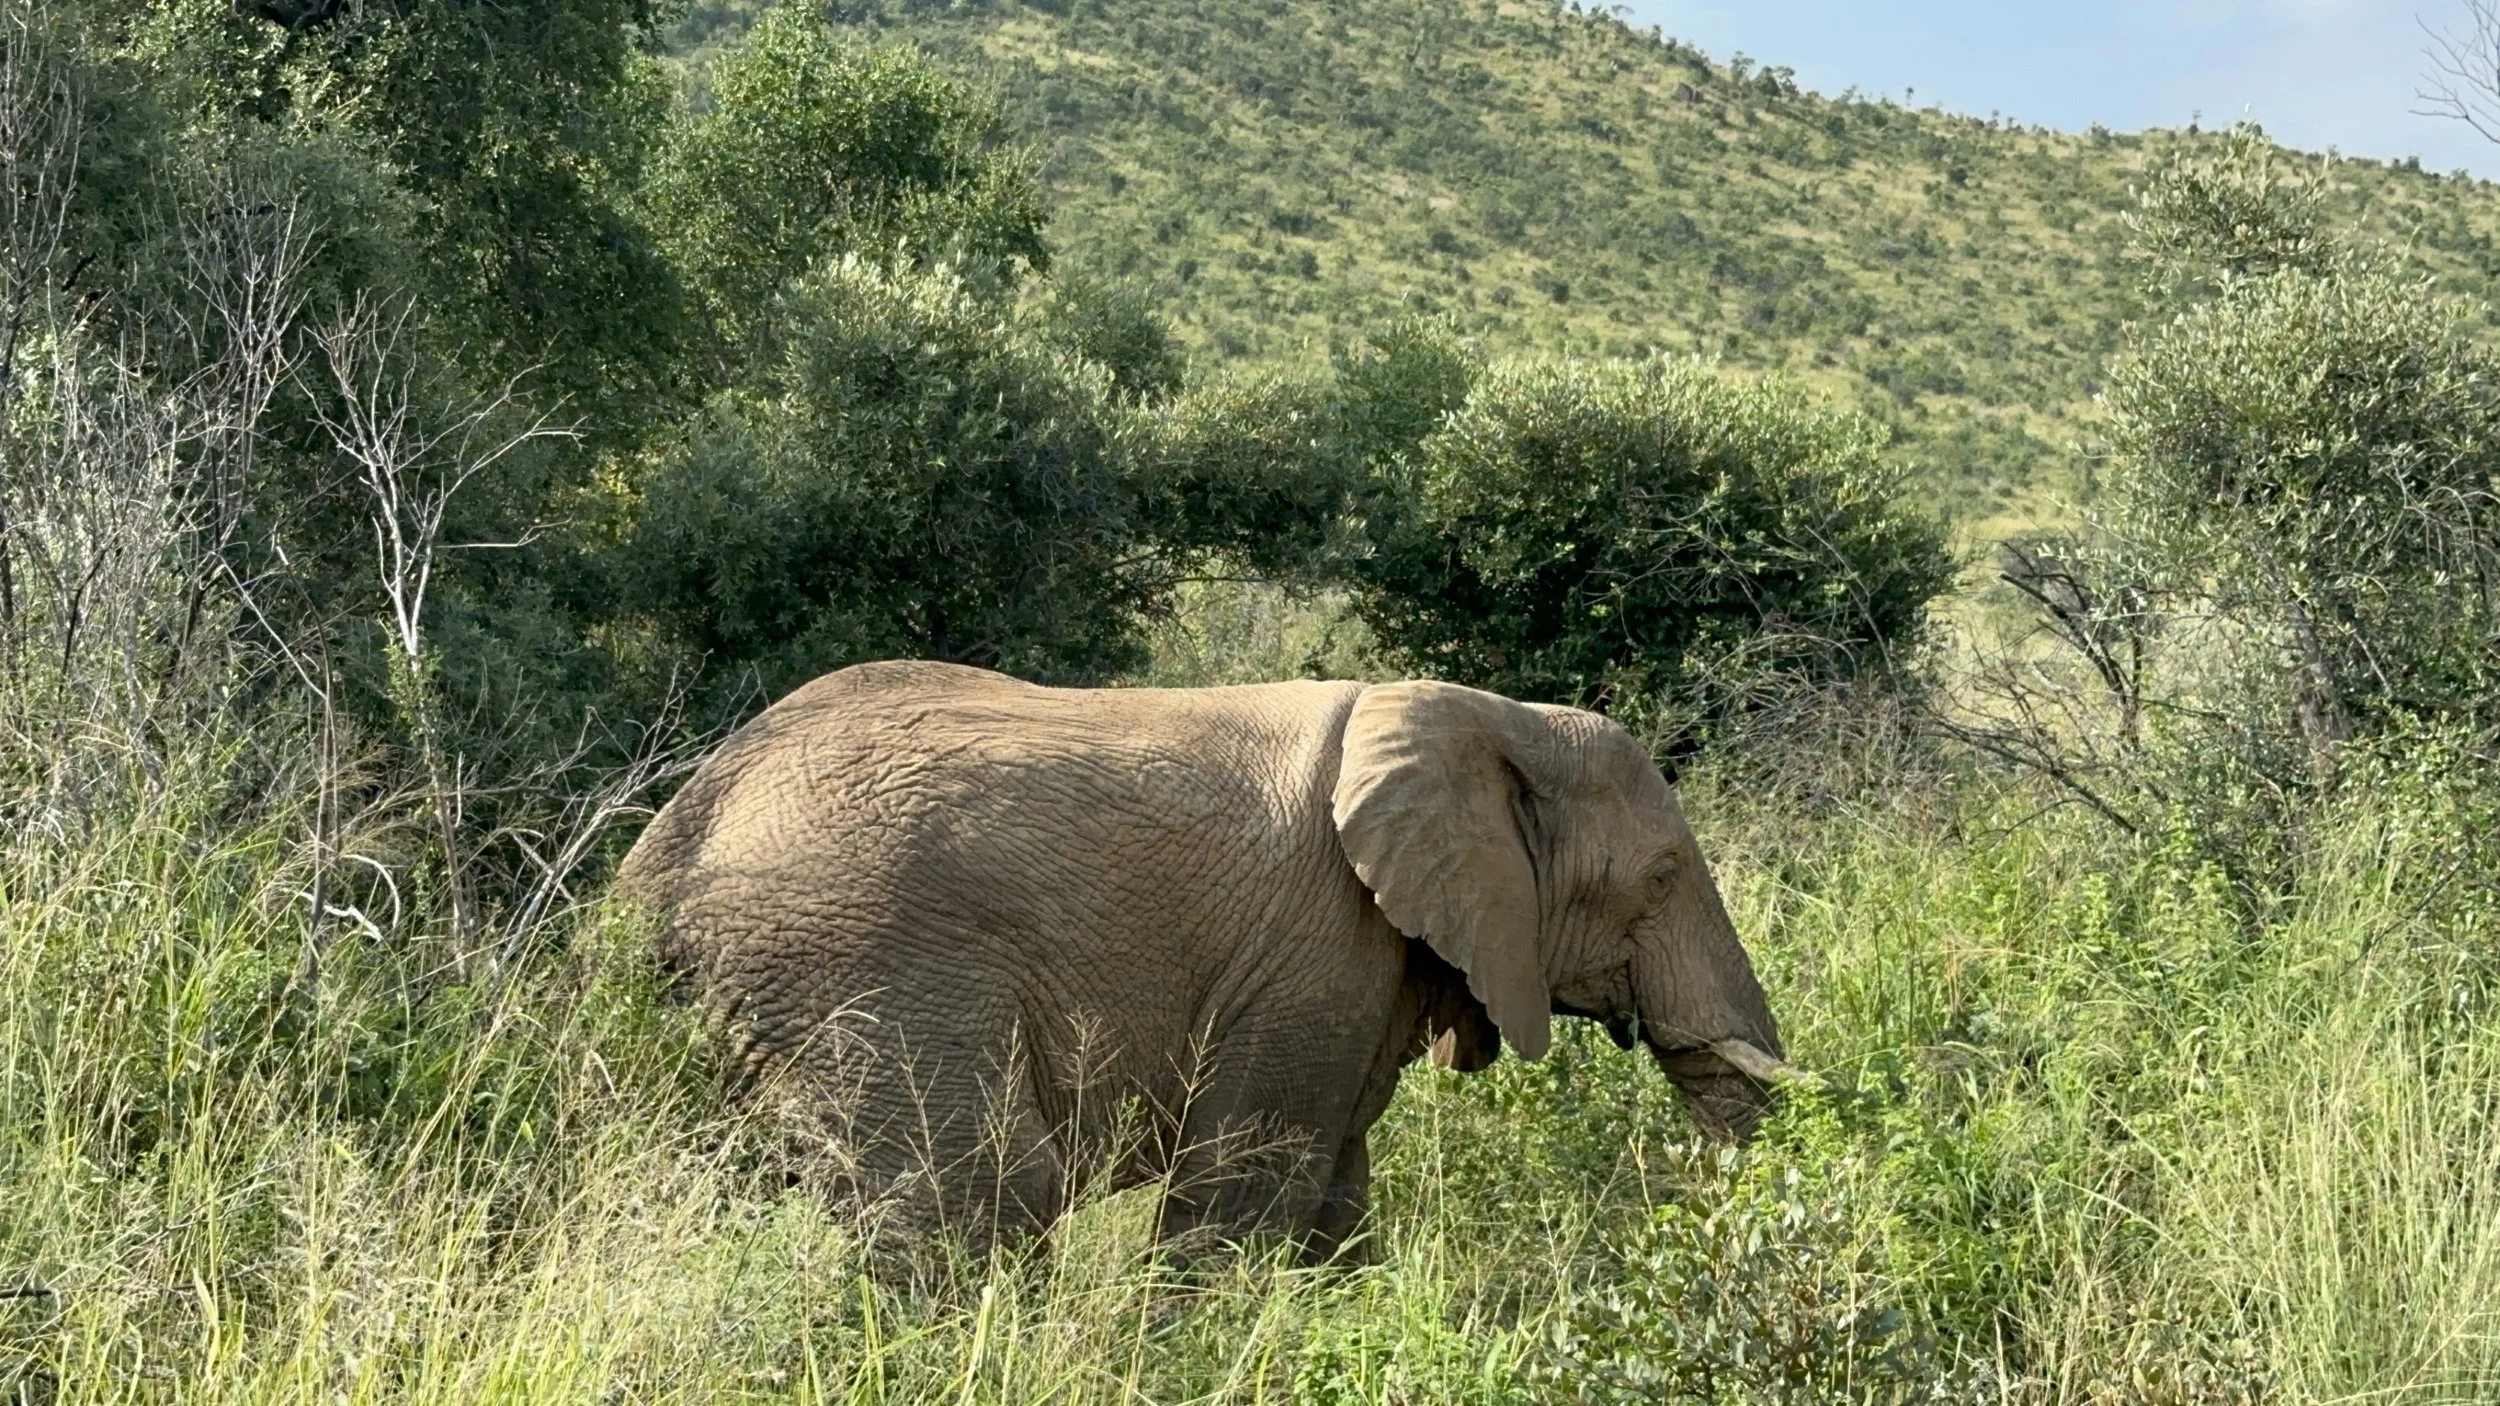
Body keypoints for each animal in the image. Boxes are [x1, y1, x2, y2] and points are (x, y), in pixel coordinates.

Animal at [618, 660, 1792, 1259]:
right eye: (1660, 878)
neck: (1483, 713)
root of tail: (665, 849)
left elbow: (1334, 1197)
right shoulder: (1318, 941)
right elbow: (1247, 1187)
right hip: (853, 956)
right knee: (982, 1193)